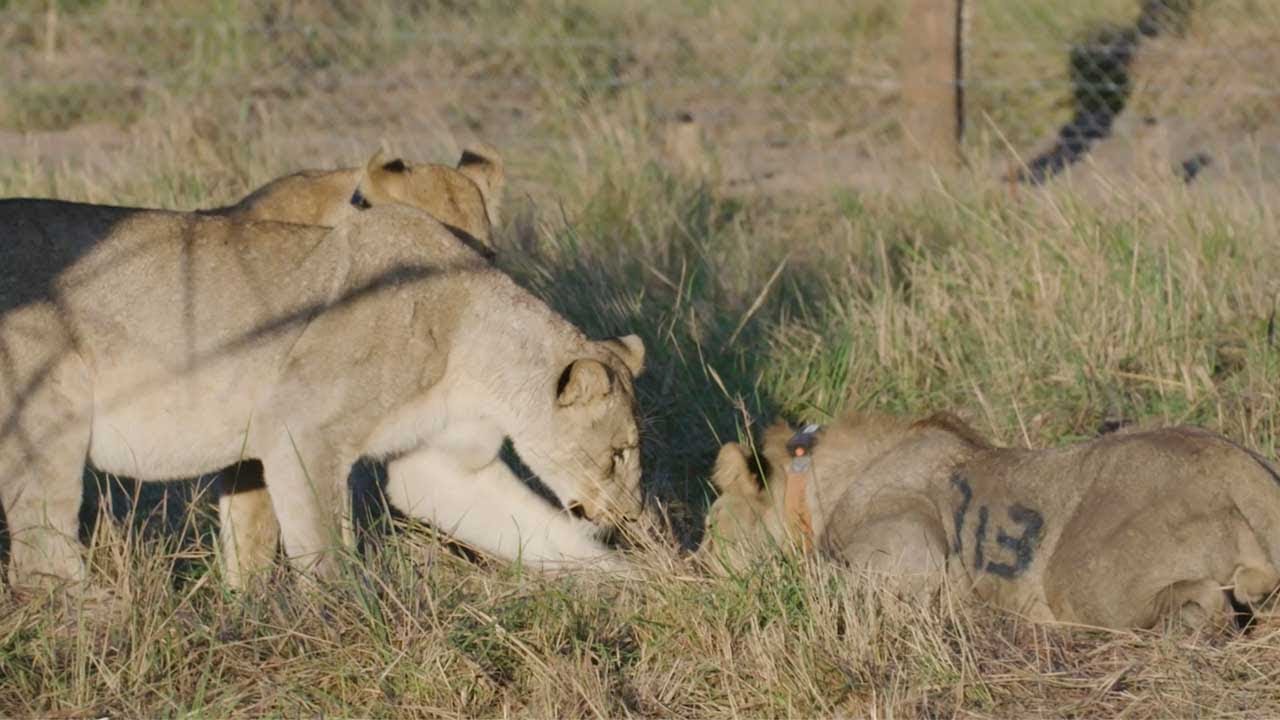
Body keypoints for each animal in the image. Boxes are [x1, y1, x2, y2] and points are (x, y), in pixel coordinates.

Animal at [0, 200, 644, 591]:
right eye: (618, 454)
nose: (632, 516)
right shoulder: (300, 427)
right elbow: (325, 543)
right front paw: (349, 626)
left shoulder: (437, 464)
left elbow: (541, 530)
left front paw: (641, 584)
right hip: (46, 409)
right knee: (42, 552)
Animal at [701, 413, 1280, 629]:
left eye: (709, 527)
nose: (696, 570)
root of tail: (1246, 473)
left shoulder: (912, 555)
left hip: (1080, 578)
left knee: (1208, 602)